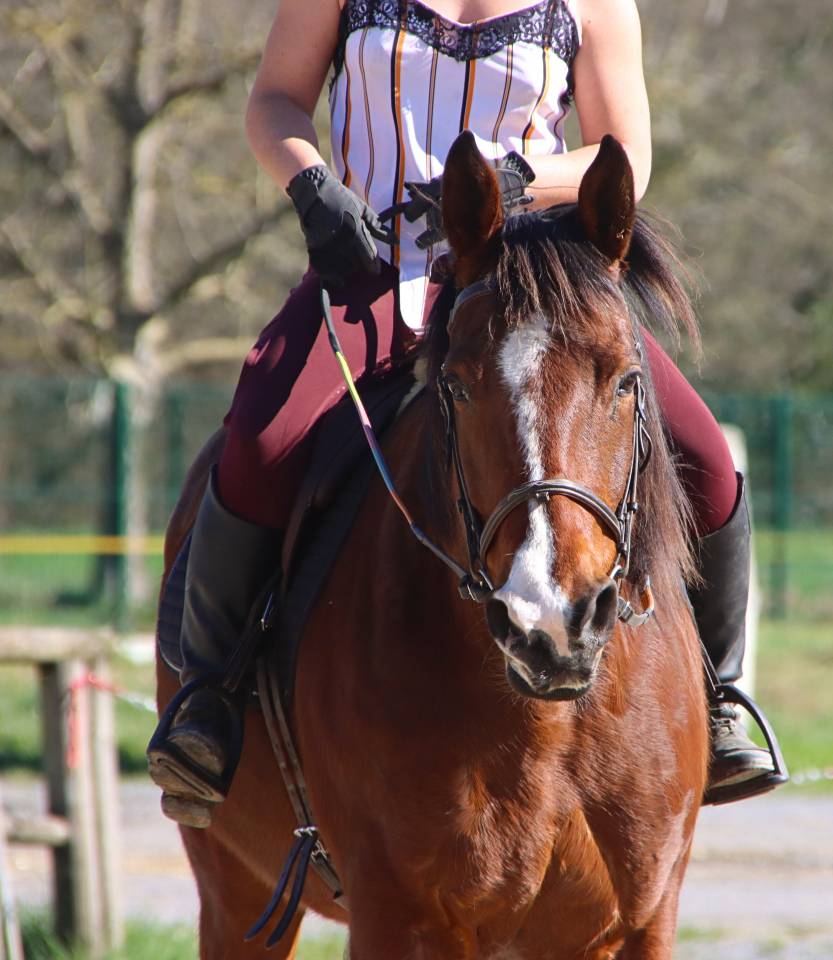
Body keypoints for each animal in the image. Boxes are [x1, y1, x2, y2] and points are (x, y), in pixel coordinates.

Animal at [156, 132, 708, 959]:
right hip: (234, 889)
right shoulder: (400, 919)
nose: (551, 624)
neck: (548, 724)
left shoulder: (640, 921)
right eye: (457, 384)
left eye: (624, 380)